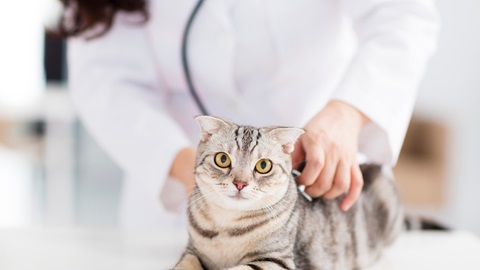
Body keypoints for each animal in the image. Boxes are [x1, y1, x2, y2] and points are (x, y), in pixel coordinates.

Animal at [173, 116, 404, 270]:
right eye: (222, 159)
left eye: (263, 165)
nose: (240, 183)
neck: (226, 227)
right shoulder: (192, 251)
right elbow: (184, 265)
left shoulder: (275, 260)